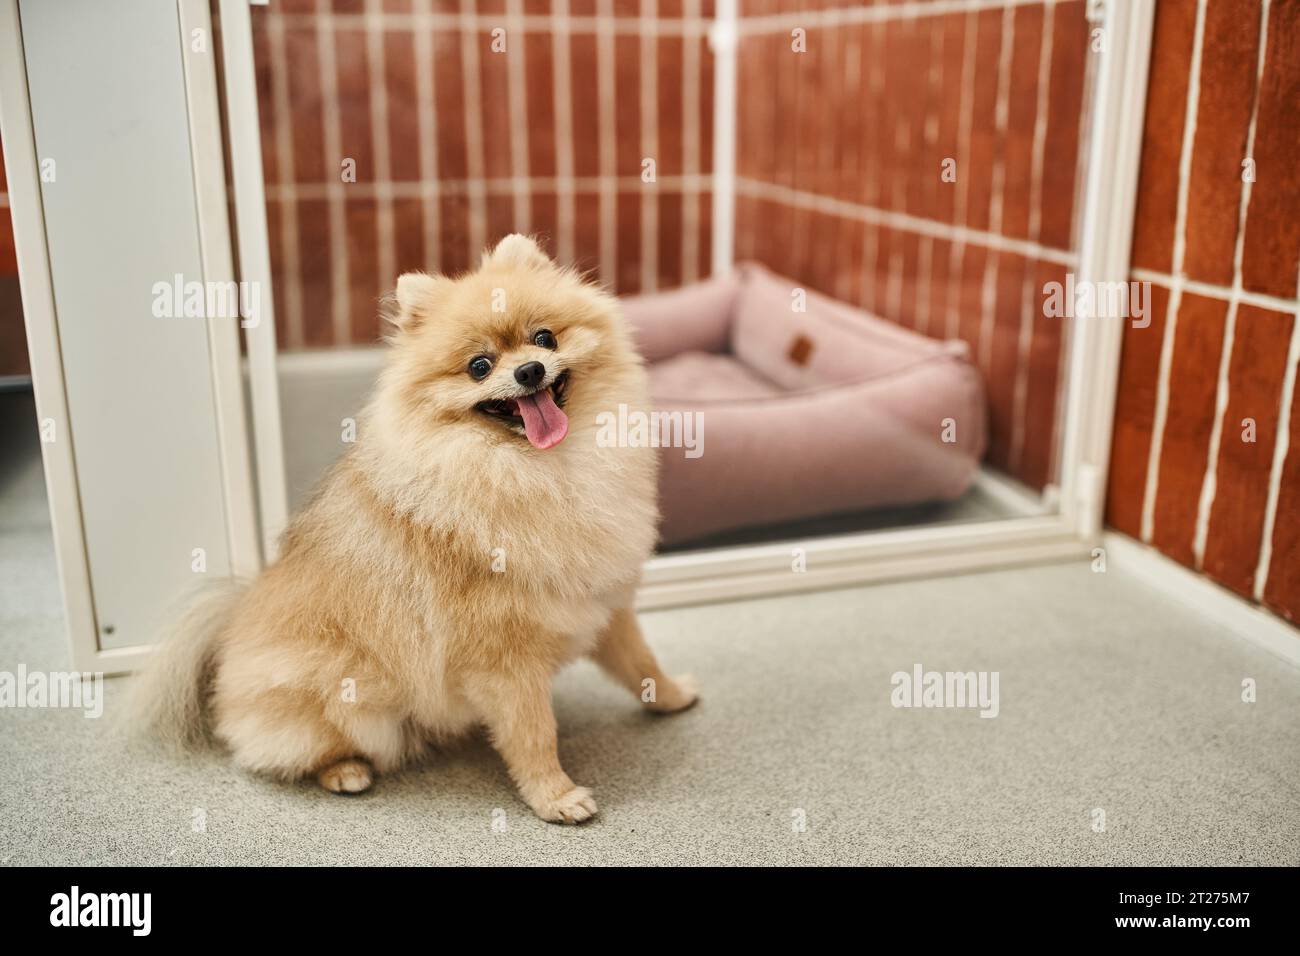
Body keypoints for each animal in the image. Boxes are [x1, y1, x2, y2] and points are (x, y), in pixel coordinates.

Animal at [135, 234, 696, 822]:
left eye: (544, 337)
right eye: (479, 366)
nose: (528, 371)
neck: (546, 469)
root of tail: (232, 630)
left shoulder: (606, 602)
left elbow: (642, 662)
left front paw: (673, 696)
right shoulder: (504, 657)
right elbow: (534, 733)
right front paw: (555, 797)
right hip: (340, 697)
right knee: (299, 751)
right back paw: (346, 772)